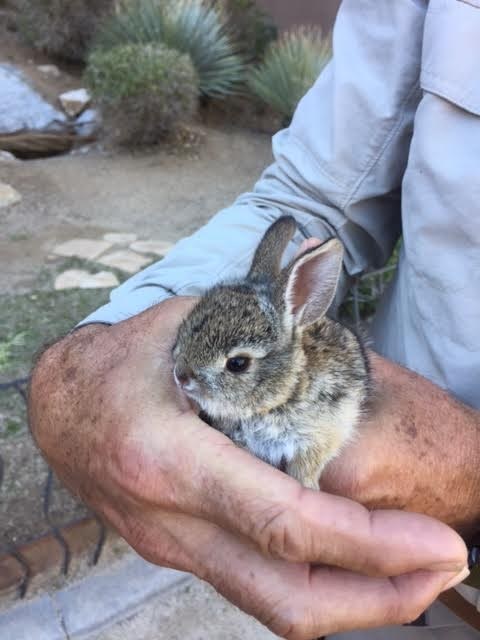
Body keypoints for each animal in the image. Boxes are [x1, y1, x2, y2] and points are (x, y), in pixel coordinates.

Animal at [172, 216, 368, 490]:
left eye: (238, 363)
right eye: (184, 329)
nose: (181, 375)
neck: (284, 393)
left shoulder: (320, 437)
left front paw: (309, 486)